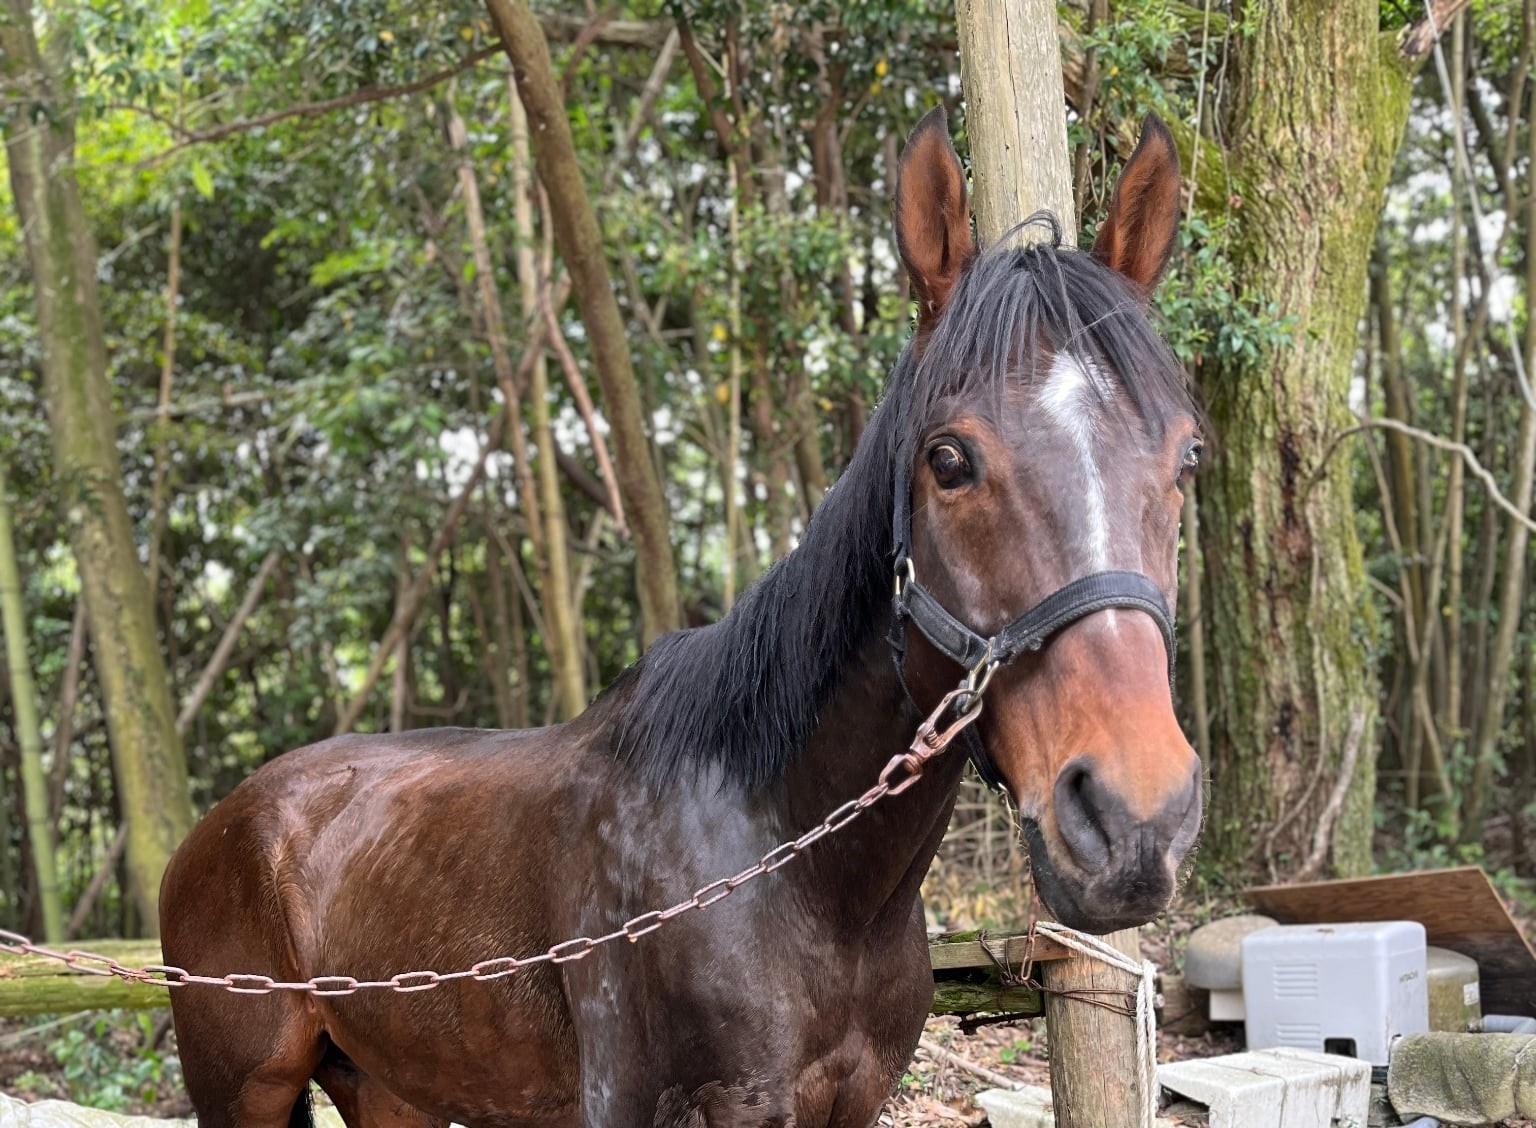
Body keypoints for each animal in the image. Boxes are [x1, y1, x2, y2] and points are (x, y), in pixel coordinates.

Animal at [160, 107, 1203, 1128]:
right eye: (948, 459)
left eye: (1187, 456)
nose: (1133, 816)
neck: (783, 857)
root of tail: (219, 826)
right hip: (243, 1092)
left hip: (386, 1086)